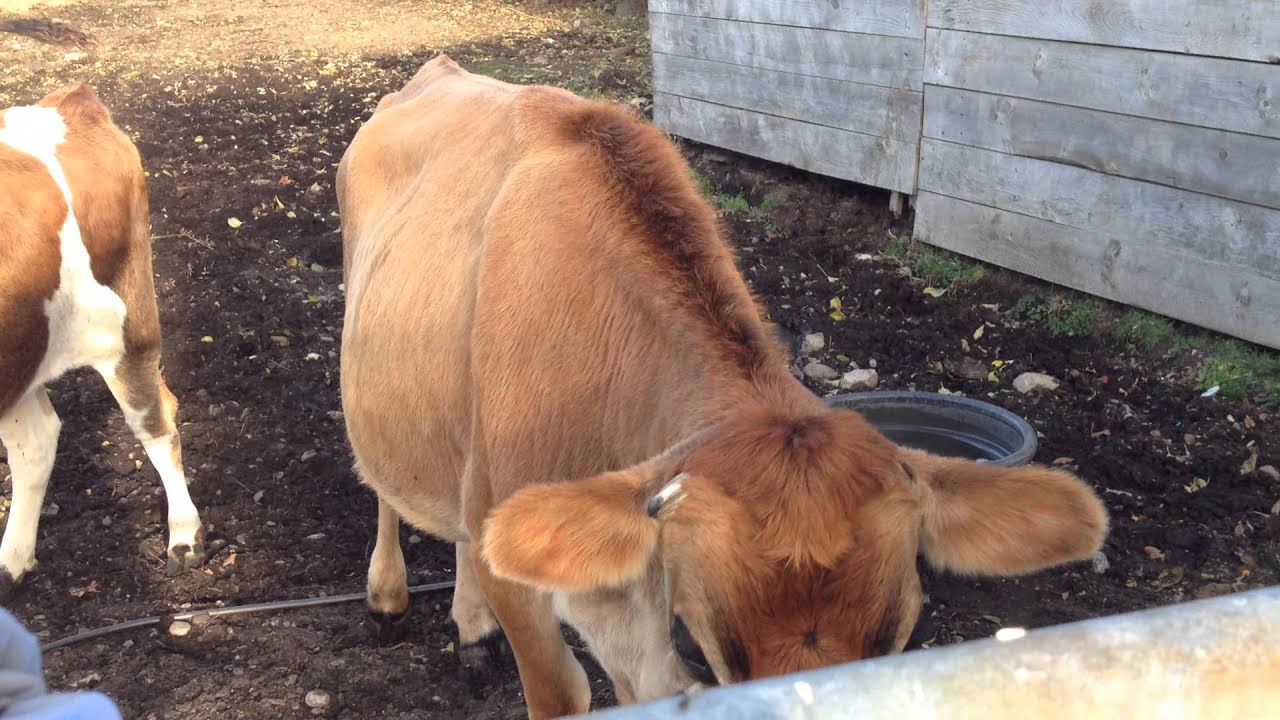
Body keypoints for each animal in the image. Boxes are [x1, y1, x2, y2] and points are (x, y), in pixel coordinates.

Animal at [0, 83, 205, 597]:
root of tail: (69, 102)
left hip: (127, 328)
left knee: (157, 423)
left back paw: (184, 537)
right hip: (26, 352)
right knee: (36, 442)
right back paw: (12, 563)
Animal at [335, 55, 1108, 719]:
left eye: (901, 633)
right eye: (695, 640)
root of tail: (437, 71)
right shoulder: (532, 591)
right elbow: (560, 691)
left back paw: (470, 625)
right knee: (382, 481)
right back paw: (388, 594)